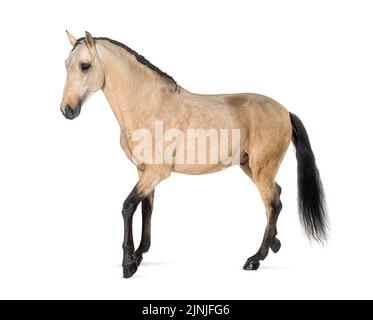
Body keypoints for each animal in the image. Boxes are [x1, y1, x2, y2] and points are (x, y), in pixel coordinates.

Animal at [59, 31, 326, 278]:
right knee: (276, 196)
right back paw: (274, 244)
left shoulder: (156, 173)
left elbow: (128, 207)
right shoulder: (144, 172)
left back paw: (255, 259)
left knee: (273, 204)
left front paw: (128, 264)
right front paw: (139, 255)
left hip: (262, 170)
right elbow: (146, 209)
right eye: (65, 64)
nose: (67, 110)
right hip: (251, 167)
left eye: (85, 66)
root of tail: (285, 111)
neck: (149, 105)